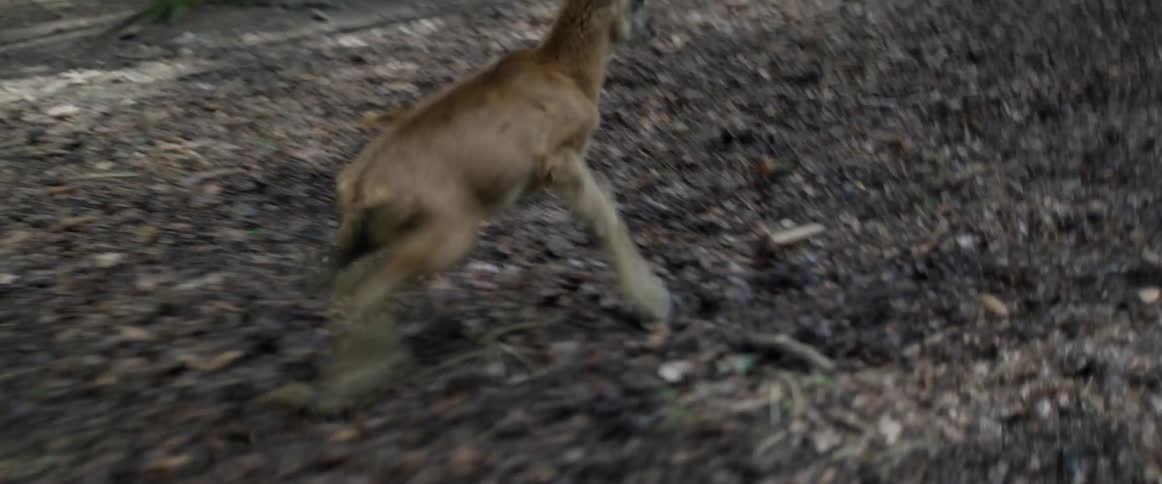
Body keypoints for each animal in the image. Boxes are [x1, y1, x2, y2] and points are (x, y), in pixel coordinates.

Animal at [305, 0, 668, 413]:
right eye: (638, 4)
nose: (653, 29)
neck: (571, 73)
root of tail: (358, 189)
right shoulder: (558, 158)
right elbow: (607, 218)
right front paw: (653, 302)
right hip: (451, 233)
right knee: (366, 291)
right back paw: (352, 384)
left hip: (376, 235)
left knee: (347, 283)